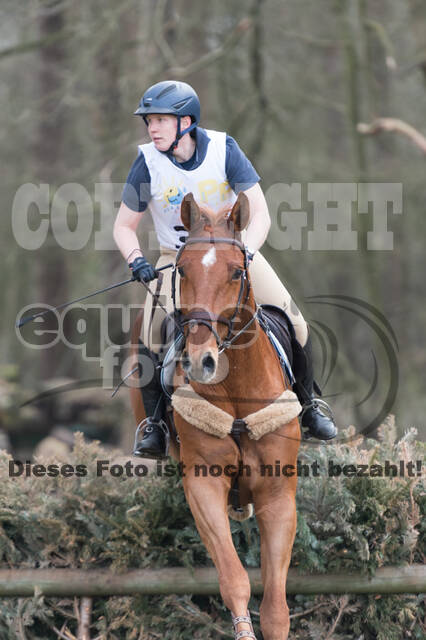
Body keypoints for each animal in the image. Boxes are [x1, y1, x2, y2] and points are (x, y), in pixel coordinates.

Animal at [130, 191, 300, 640]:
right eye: (182, 271)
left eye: (237, 272)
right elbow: (234, 579)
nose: (200, 362)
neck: (236, 387)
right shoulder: (203, 484)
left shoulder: (278, 494)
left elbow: (276, 607)